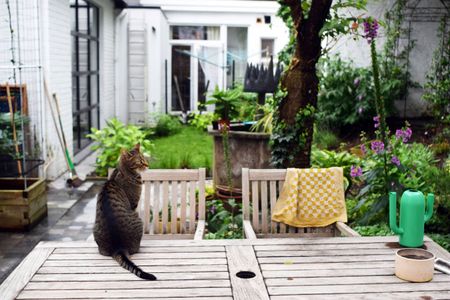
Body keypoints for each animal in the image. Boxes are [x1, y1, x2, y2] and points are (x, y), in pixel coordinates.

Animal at [93, 143, 156, 278]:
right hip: (138, 220)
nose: (147, 164)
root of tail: (118, 246)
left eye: (144, 158)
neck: (122, 171)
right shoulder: (134, 204)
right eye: (140, 161)